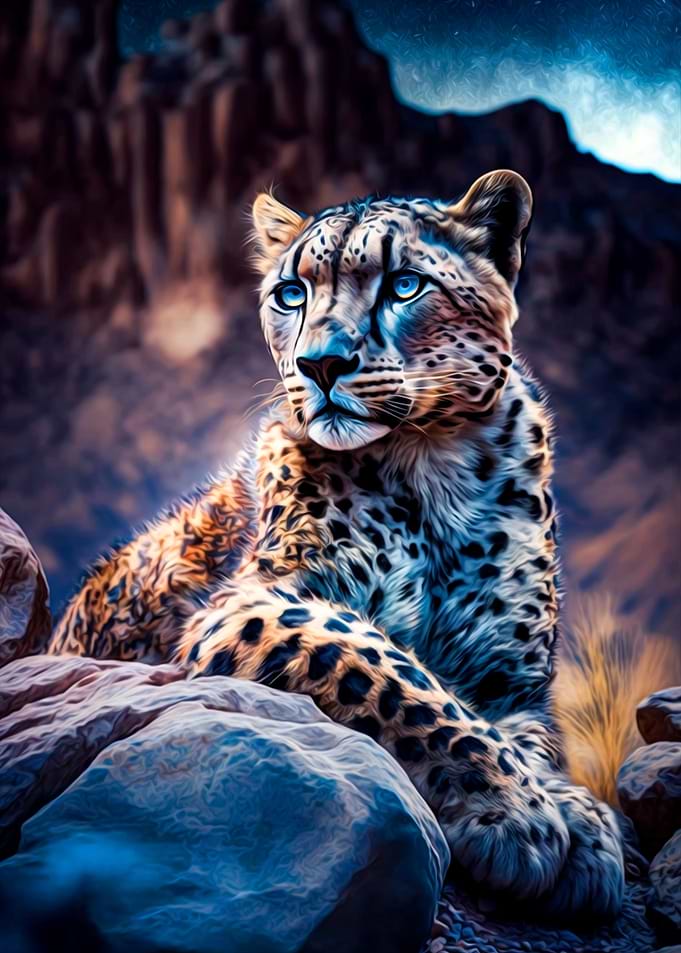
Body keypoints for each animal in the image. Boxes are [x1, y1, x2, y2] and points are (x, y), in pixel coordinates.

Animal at [49, 170, 625, 918]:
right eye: (291, 294)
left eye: (404, 285)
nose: (319, 363)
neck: (434, 465)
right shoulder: (258, 599)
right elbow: (388, 667)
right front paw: (516, 816)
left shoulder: (510, 675)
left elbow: (526, 735)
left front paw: (582, 824)